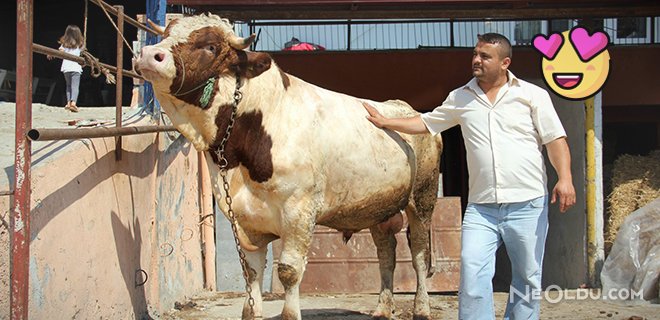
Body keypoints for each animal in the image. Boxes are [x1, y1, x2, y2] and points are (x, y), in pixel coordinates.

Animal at [133, 13, 444, 320]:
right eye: (165, 35)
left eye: (210, 46)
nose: (149, 54)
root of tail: (410, 111)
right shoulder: (244, 218)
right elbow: (252, 272)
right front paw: (252, 310)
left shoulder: (299, 211)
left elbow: (289, 271)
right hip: (378, 207)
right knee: (386, 252)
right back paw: (382, 308)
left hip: (423, 199)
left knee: (419, 255)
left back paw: (422, 309)